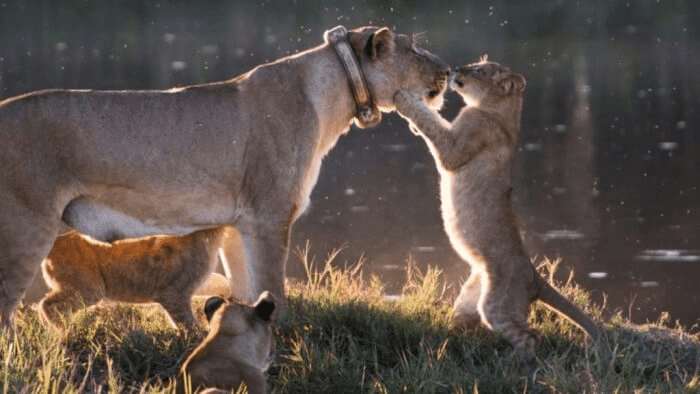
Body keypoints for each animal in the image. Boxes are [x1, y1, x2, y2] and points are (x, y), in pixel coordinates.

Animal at [0, 25, 448, 326]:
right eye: (415, 47)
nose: (447, 70)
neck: (332, 91)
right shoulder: (269, 216)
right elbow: (274, 287)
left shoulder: (238, 224)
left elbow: (247, 290)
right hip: (26, 225)